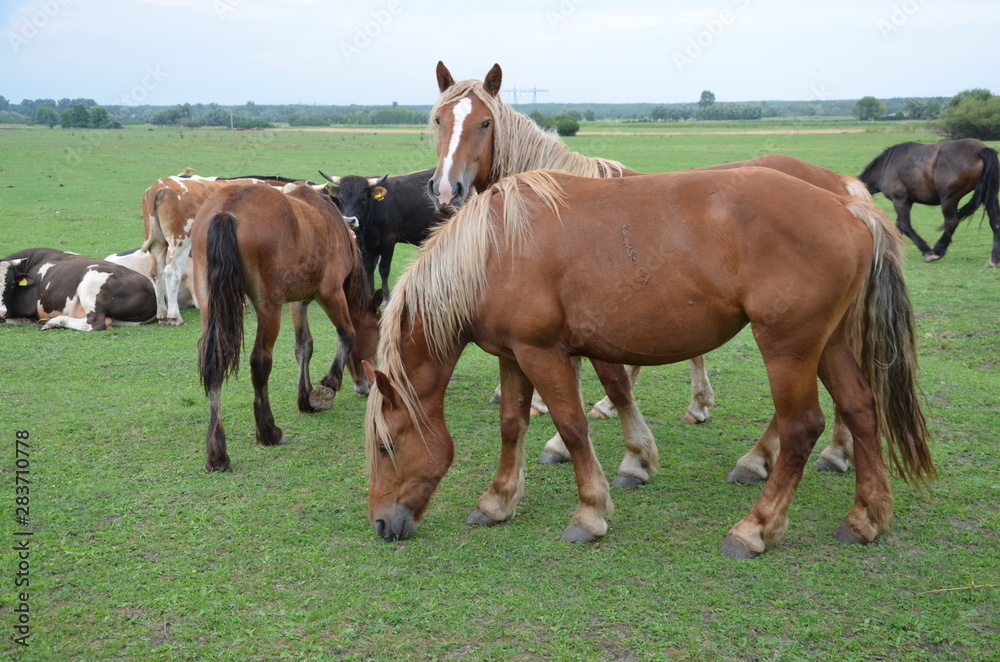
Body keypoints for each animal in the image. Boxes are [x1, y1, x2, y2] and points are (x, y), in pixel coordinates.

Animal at [191, 182, 382, 472]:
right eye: (378, 332)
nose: (365, 385)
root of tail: (227, 209)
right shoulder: (331, 293)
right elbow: (347, 335)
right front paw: (327, 387)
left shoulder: (299, 301)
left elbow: (304, 346)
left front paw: (305, 399)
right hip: (270, 307)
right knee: (260, 363)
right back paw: (269, 432)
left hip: (209, 304)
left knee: (214, 363)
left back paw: (217, 452)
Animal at [365, 168, 935, 558]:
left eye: (387, 445)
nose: (381, 524)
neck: (494, 249)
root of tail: (847, 207)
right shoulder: (514, 355)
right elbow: (512, 425)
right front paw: (498, 501)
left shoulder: (543, 354)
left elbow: (572, 427)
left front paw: (591, 513)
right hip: (829, 344)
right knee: (860, 410)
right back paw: (865, 517)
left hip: (789, 348)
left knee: (802, 427)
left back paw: (755, 527)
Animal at [426, 61, 872, 481]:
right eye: (439, 119)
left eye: (485, 122)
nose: (447, 189)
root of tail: (841, 188)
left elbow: (611, 381)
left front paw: (618, 453)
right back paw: (834, 451)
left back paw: (769, 458)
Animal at [858, 138, 1000, 266]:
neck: (886, 167)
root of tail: (980, 150)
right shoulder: (906, 203)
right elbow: (898, 227)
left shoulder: (900, 201)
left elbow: (904, 226)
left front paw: (925, 250)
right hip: (988, 195)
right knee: (995, 221)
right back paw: (994, 259)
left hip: (949, 199)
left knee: (951, 222)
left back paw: (937, 251)